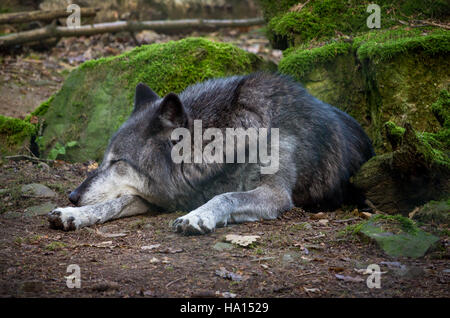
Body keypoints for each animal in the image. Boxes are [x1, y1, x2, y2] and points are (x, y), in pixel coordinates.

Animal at [47, 72, 374, 236]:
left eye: (118, 162)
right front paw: (74, 215)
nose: (73, 196)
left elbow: (226, 196)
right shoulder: (163, 195)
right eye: (104, 160)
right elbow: (117, 201)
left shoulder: (275, 193)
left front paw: (197, 216)